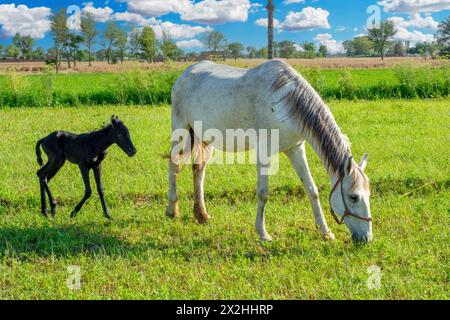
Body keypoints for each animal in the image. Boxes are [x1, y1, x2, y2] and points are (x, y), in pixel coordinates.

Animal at [167, 59, 370, 242]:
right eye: (353, 197)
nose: (366, 238)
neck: (284, 101)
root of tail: (185, 74)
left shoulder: (295, 149)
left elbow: (311, 189)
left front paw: (325, 231)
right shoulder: (264, 152)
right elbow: (263, 193)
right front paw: (263, 233)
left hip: (205, 138)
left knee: (198, 170)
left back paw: (201, 215)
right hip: (180, 130)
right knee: (173, 166)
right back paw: (172, 210)